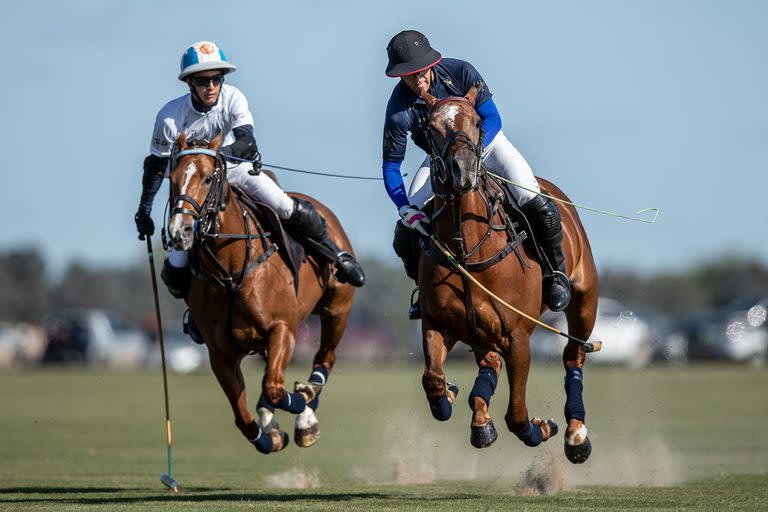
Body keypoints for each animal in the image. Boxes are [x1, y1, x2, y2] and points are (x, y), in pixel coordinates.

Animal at [166, 134, 356, 454]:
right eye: (172, 179)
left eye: (207, 178)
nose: (181, 232)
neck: (230, 273)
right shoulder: (220, 354)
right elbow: (243, 416)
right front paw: (271, 437)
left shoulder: (282, 329)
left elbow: (277, 389)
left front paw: (303, 403)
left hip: (337, 309)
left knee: (324, 359)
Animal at [416, 88, 596, 464]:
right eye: (432, 128)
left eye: (477, 121)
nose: (464, 171)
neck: (467, 250)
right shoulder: (436, 323)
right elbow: (433, 381)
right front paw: (451, 395)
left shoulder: (518, 337)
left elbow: (516, 415)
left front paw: (543, 428)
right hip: (479, 333)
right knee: (488, 363)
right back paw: (480, 418)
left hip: (585, 298)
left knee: (573, 356)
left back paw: (576, 436)